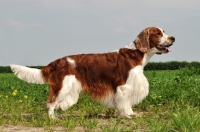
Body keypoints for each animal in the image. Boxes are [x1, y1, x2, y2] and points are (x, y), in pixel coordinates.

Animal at [9, 26, 175, 118]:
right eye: (158, 33)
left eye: (164, 32)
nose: (173, 38)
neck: (137, 55)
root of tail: (55, 62)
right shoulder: (124, 87)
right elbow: (125, 103)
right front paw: (127, 115)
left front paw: (131, 114)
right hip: (63, 87)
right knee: (50, 103)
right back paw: (52, 119)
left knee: (54, 104)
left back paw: (57, 116)